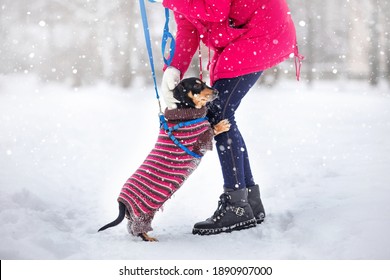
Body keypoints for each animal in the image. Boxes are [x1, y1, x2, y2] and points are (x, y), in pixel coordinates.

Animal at [99, 77, 230, 242]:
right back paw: (149, 238)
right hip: (143, 213)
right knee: (138, 230)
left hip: (136, 214)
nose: (216, 91)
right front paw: (222, 125)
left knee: (131, 228)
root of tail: (121, 202)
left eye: (204, 83)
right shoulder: (200, 142)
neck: (185, 113)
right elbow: (211, 130)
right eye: (196, 85)